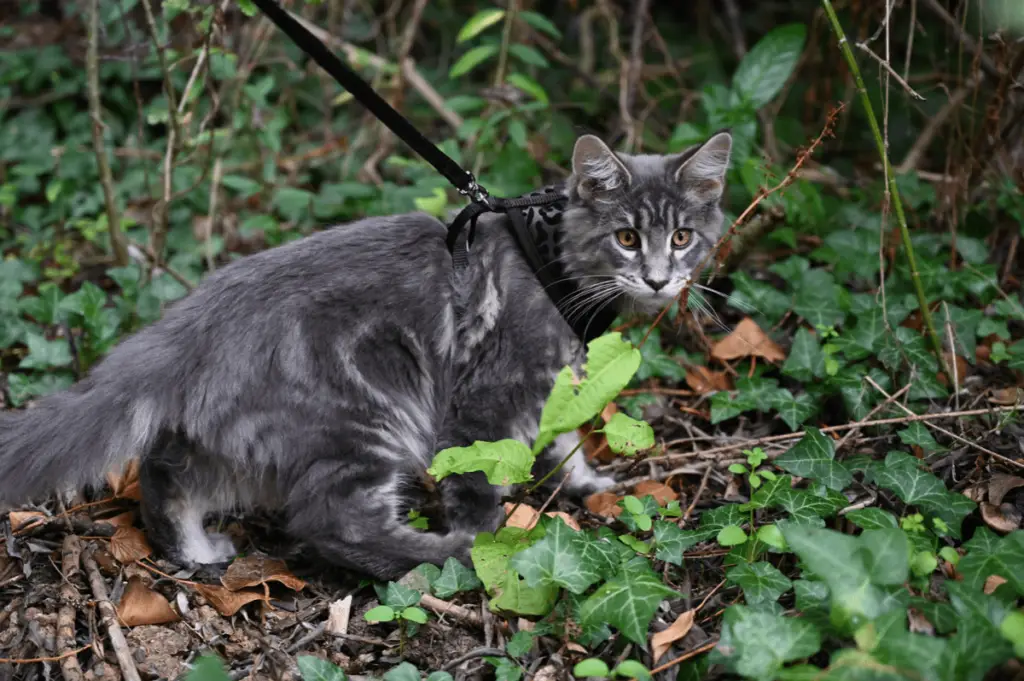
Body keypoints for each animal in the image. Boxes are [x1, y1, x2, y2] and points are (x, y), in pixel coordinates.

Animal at [2, 133, 737, 577]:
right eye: (625, 237)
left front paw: (586, 482)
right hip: (368, 415)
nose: (658, 280)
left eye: (681, 236)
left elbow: (566, 440)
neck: (552, 260)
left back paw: (197, 549)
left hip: (243, 434)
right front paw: (490, 540)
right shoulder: (490, 397)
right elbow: (479, 481)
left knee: (168, 472)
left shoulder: (553, 383)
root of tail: (193, 315)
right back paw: (443, 554)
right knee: (330, 520)